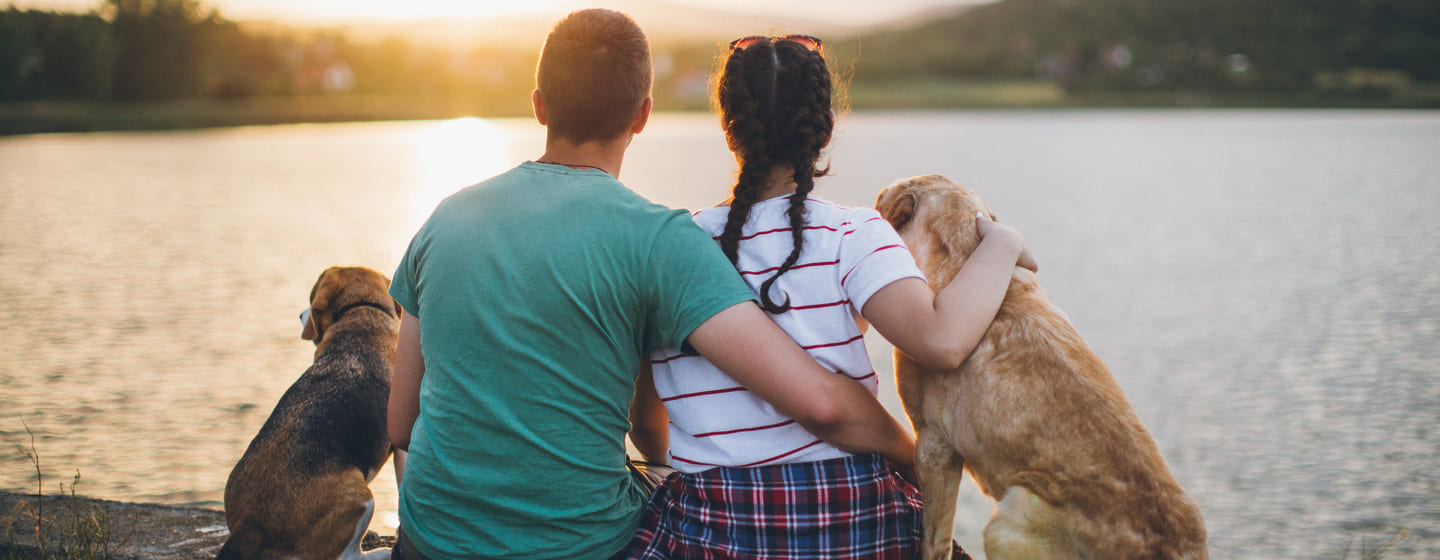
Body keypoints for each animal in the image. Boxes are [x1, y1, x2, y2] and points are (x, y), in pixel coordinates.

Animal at [221, 264, 408, 558]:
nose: (300, 315)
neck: (362, 309)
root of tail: (247, 527)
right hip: (360, 494)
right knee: (345, 555)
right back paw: (381, 552)